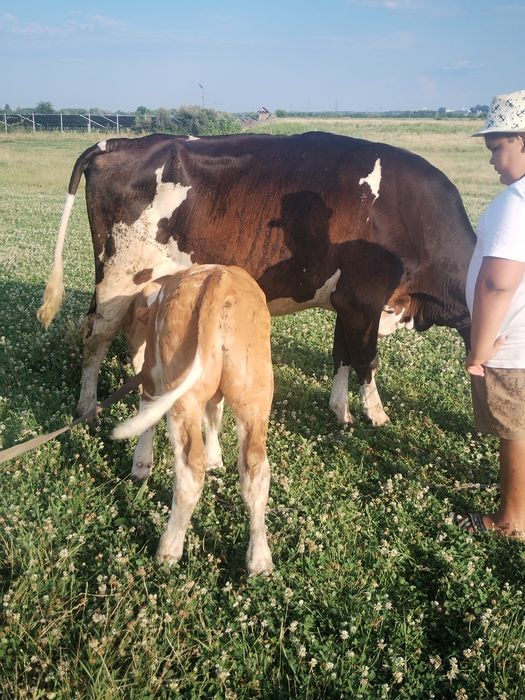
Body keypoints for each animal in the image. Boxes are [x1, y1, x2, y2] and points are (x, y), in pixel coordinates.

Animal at [37, 131, 475, 425]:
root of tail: (118, 142)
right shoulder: (366, 298)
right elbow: (367, 359)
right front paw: (376, 414)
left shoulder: (347, 301)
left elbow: (342, 355)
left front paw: (339, 411)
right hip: (121, 273)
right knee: (96, 335)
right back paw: (87, 408)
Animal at [112, 264, 274, 574]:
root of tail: (221, 278)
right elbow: (214, 415)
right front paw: (215, 459)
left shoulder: (151, 374)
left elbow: (147, 417)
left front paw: (141, 466)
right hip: (255, 394)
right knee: (256, 469)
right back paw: (259, 558)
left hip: (180, 394)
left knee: (189, 467)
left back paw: (169, 548)